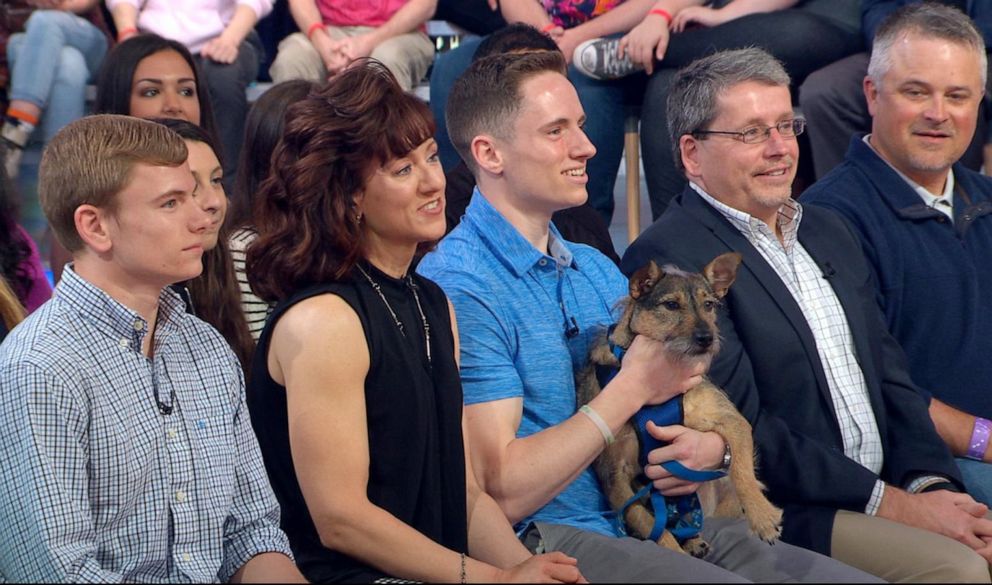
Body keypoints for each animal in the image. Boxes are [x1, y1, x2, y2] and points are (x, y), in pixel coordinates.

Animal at [576, 252, 780, 556]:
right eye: (671, 305)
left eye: (709, 305)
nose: (707, 338)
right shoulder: (615, 479)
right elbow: (649, 525)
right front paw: (674, 549)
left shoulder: (733, 421)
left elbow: (742, 471)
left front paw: (762, 516)